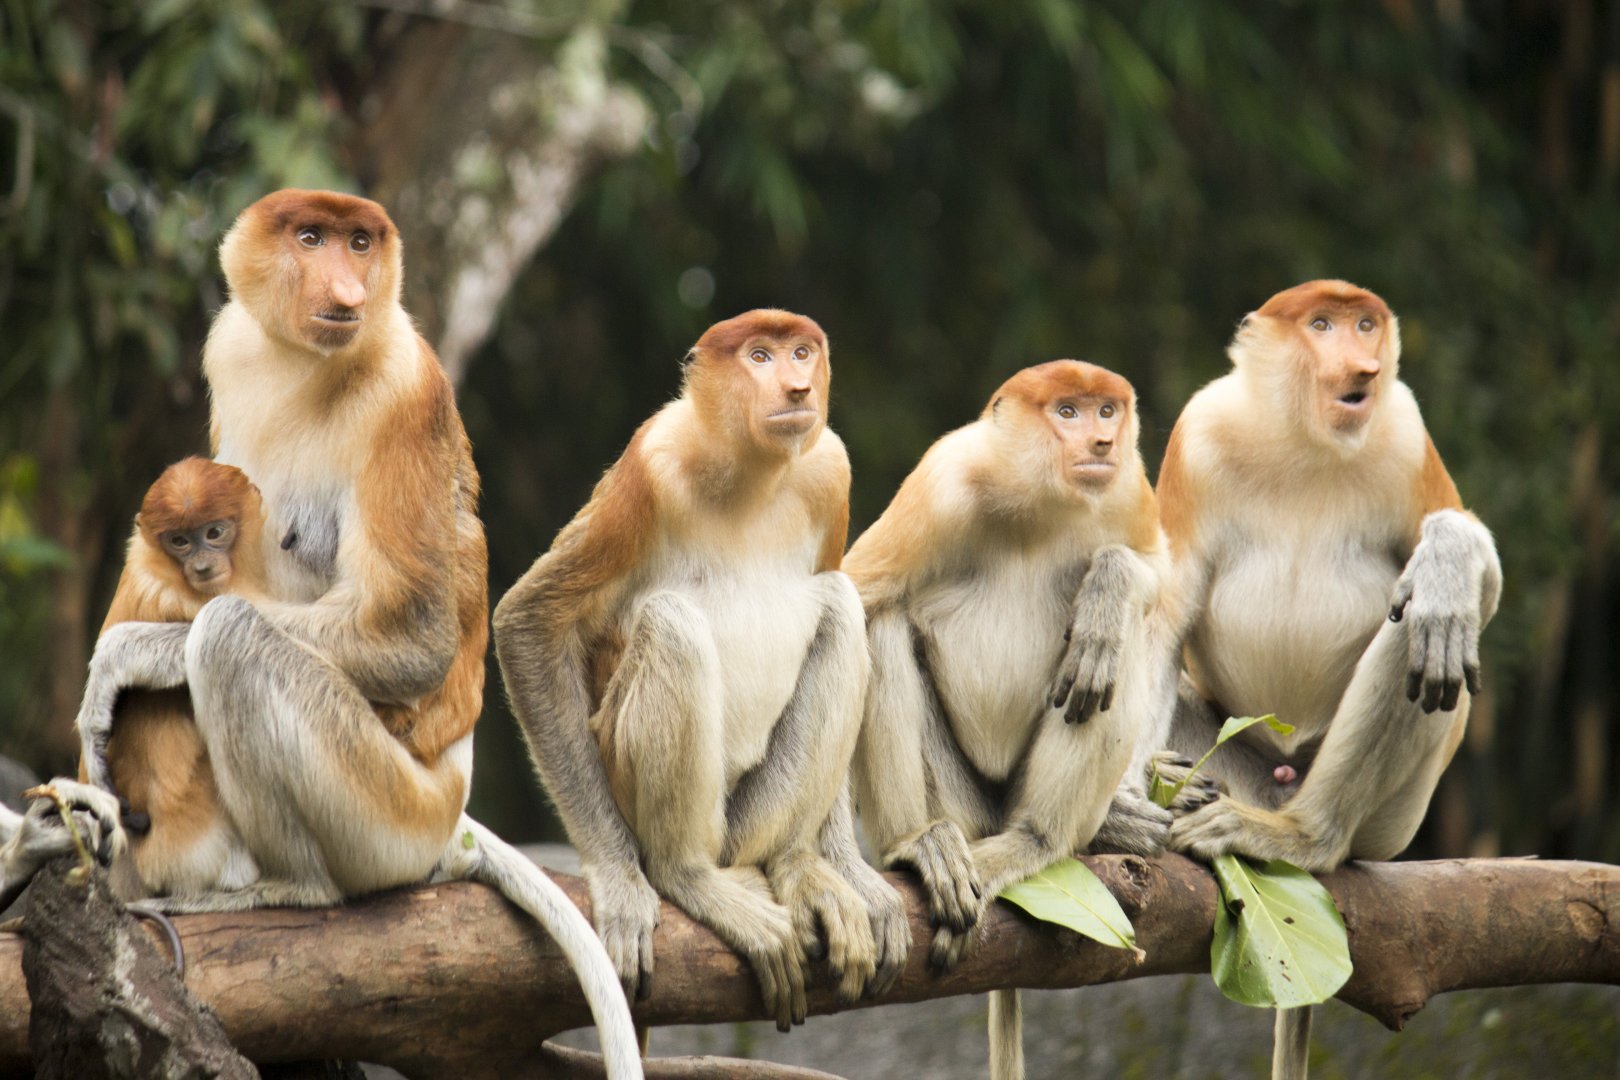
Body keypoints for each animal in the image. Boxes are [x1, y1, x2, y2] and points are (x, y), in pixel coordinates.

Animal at [70, 190, 641, 1077]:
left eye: (361, 243)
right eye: (311, 237)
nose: (346, 291)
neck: (305, 365)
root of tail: (448, 811)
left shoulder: (406, 392)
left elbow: (412, 640)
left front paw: (123, 660)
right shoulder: (231, 344)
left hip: (388, 815)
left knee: (228, 639)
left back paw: (287, 888)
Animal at [493, 309, 910, 1033]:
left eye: (802, 353)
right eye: (760, 356)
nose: (799, 388)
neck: (752, 473)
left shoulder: (829, 468)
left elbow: (837, 582)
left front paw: (849, 872)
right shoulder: (646, 467)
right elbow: (528, 621)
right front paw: (620, 884)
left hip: (746, 818)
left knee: (839, 605)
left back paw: (799, 866)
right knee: (672, 623)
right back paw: (685, 875)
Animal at [842, 360, 1211, 1080]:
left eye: (1105, 411)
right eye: (1066, 412)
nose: (1101, 444)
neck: (1041, 505)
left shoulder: (1128, 488)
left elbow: (1152, 573)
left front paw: (1109, 586)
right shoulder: (939, 485)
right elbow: (852, 602)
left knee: (1113, 654)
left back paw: (1044, 837)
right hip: (961, 800)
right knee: (885, 621)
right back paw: (920, 845)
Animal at [1158, 280, 1502, 1080]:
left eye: (1365, 324)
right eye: (1322, 324)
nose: (1363, 365)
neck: (1305, 442)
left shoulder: (1404, 430)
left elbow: (1478, 585)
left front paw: (1447, 559)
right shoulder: (1196, 436)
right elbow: (1157, 617)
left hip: (1394, 816)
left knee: (1419, 635)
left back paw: (1303, 837)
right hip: (1235, 766)